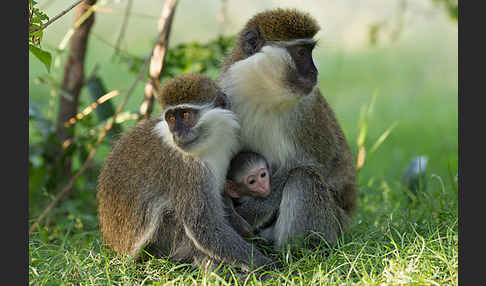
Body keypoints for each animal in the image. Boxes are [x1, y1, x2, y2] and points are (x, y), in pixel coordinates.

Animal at [218, 8, 358, 249]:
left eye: (310, 51)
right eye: (301, 52)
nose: (314, 72)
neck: (262, 91)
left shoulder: (306, 113)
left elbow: (310, 164)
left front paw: (250, 213)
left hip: (336, 225)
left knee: (304, 178)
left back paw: (300, 251)